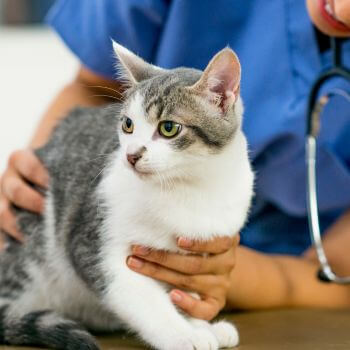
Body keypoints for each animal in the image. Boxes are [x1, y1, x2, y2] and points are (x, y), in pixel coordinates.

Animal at [0, 41, 254, 350]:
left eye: (169, 128)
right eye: (128, 125)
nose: (131, 155)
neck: (190, 185)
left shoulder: (194, 255)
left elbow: (183, 293)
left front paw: (200, 324)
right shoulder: (94, 246)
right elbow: (143, 298)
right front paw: (184, 335)